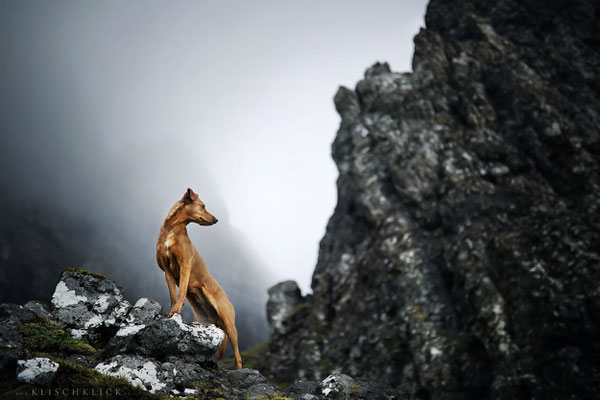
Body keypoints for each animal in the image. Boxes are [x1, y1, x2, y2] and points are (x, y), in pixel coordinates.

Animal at [156, 189, 243, 370]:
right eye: (203, 206)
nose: (216, 219)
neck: (172, 230)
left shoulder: (185, 265)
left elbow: (181, 292)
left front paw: (176, 311)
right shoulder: (167, 271)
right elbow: (173, 295)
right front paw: (171, 312)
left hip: (230, 326)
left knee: (238, 357)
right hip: (205, 322)